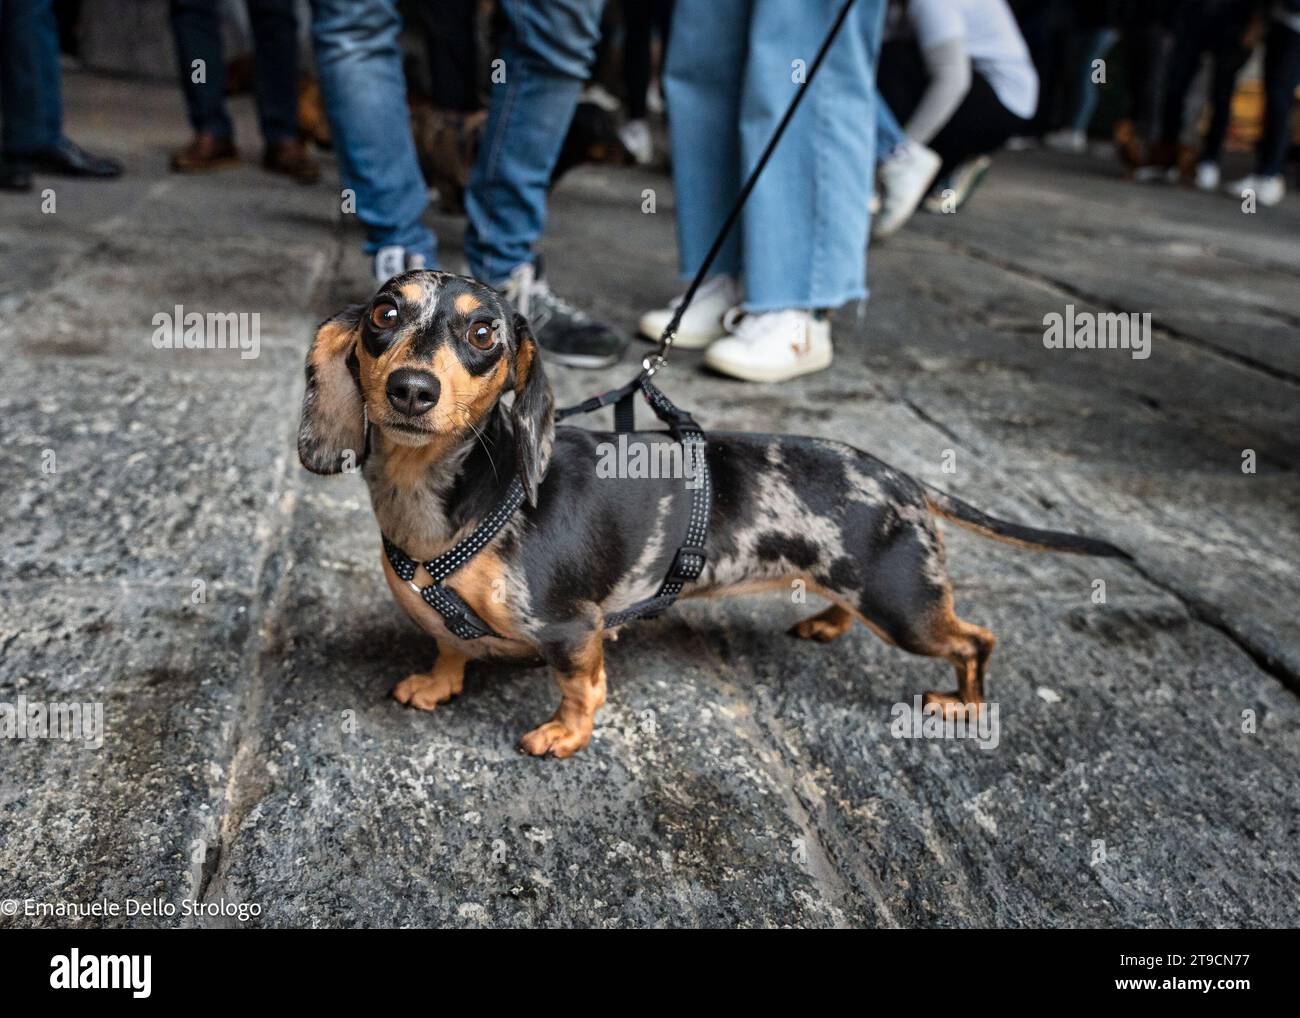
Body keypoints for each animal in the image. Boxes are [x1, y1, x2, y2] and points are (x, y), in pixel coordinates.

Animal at [301, 270, 1128, 754]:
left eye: (483, 333)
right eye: (383, 313)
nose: (412, 389)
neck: (440, 502)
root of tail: (905, 480)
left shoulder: (573, 630)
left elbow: (580, 688)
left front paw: (564, 735)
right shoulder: (446, 618)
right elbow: (448, 644)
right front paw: (436, 683)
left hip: (906, 608)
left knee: (975, 640)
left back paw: (965, 705)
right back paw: (828, 622)